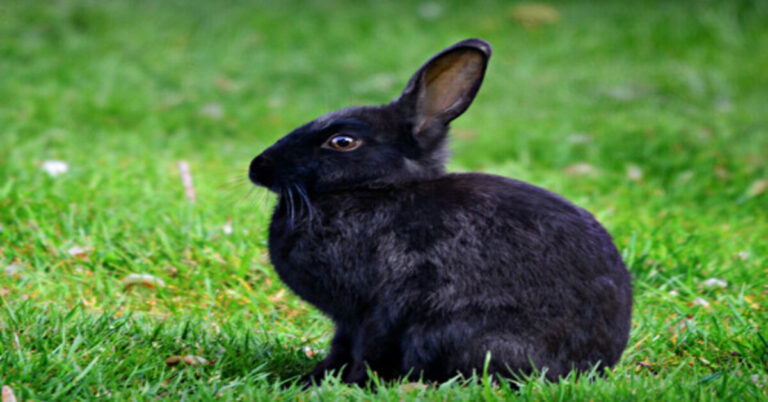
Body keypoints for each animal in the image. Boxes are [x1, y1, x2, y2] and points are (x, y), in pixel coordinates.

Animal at [249, 38, 632, 386]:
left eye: (342, 142)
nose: (258, 167)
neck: (376, 189)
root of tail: (597, 364)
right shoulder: (348, 321)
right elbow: (340, 348)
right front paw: (312, 379)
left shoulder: (377, 310)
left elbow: (367, 349)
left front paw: (351, 383)